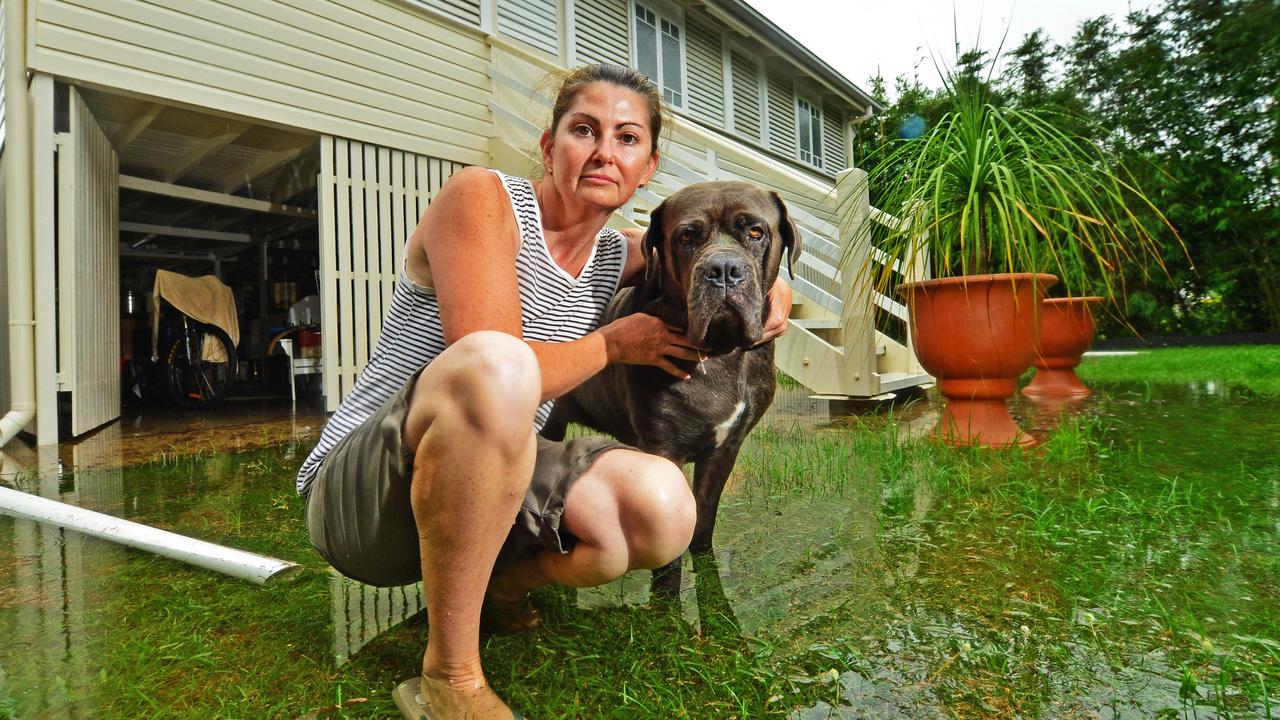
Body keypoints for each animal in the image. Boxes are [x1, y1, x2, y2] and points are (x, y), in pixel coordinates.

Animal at [542, 180, 798, 594]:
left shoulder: (724, 451)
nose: (723, 269)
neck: (720, 354)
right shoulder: (664, 450)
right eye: (686, 237)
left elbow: (703, 522)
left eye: (756, 232)